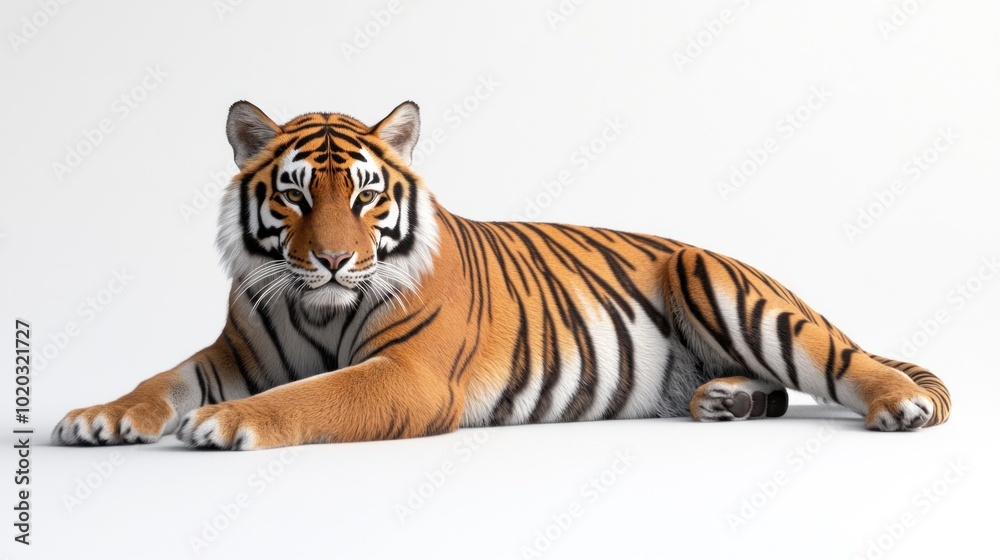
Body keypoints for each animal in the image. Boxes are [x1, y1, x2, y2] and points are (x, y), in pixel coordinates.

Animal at [51, 101, 951, 450]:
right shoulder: (234, 352)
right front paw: (100, 417)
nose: (335, 258)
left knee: (840, 359)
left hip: (719, 280)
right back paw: (723, 400)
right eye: (296, 193)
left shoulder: (410, 373)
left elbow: (310, 396)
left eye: (367, 195)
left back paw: (896, 404)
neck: (317, 308)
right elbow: (163, 379)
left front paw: (227, 423)